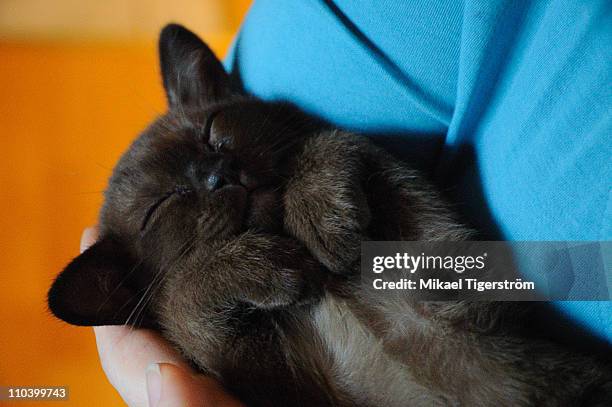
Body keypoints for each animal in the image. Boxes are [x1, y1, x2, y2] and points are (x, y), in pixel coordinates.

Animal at [49, 23, 612, 406]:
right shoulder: (269, 379)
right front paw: (269, 265)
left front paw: (322, 217)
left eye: (211, 129)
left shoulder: (449, 283)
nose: (218, 175)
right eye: (161, 206)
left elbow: (327, 141)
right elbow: (181, 294)